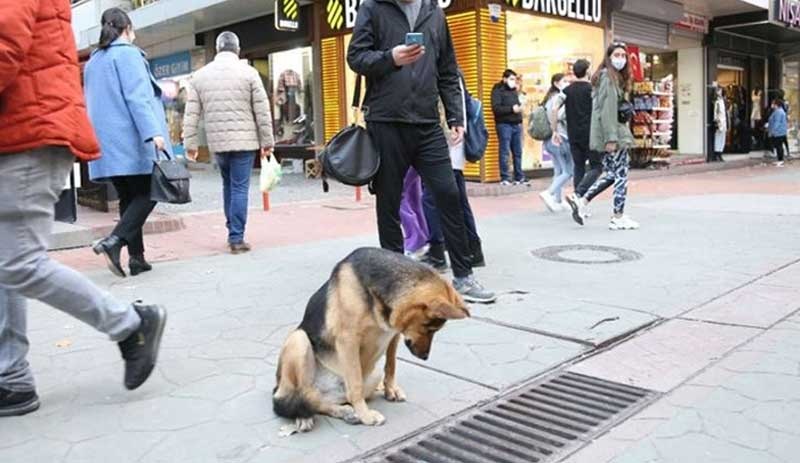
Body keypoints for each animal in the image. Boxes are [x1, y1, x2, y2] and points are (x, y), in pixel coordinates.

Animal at [274, 248, 468, 434]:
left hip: (373, 374)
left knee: (321, 402)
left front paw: (390, 389)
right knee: (297, 397)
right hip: (299, 339)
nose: (425, 357)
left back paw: (345, 412)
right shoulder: (348, 341)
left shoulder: (394, 335)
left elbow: (391, 365)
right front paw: (365, 415)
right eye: (431, 328)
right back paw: (305, 416)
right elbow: (355, 384)